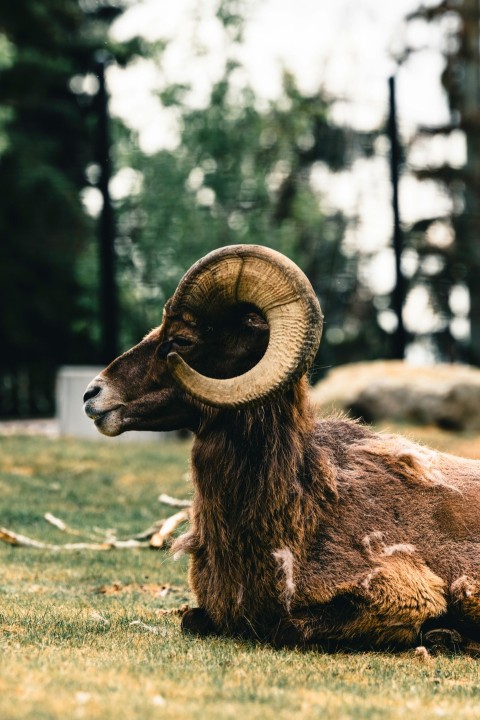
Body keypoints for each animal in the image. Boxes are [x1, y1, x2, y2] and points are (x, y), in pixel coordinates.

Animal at [84, 245, 480, 648]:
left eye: (181, 340)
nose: (92, 395)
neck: (307, 505)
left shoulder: (401, 596)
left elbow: (287, 628)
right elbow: (192, 620)